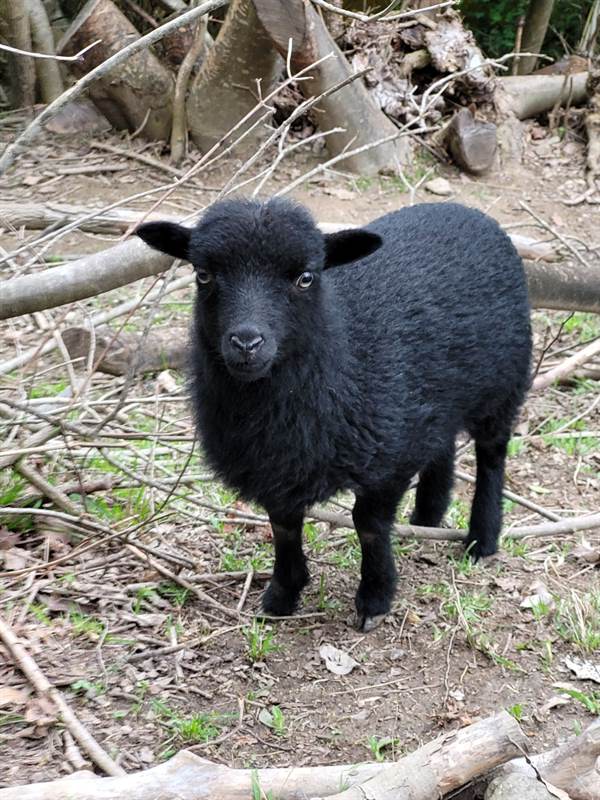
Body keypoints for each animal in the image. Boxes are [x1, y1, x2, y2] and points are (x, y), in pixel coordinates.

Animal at [136, 198, 528, 632]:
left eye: (306, 278)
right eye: (203, 274)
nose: (246, 342)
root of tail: (464, 209)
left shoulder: (389, 453)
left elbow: (368, 525)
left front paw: (374, 598)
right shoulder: (275, 464)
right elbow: (283, 526)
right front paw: (282, 594)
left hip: (503, 384)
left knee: (491, 455)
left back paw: (482, 538)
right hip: (434, 400)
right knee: (441, 443)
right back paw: (426, 516)